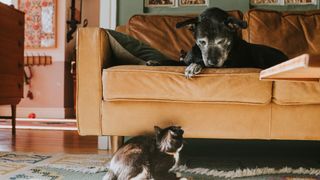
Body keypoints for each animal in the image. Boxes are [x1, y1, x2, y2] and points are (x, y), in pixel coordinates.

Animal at [146, 7, 288, 77]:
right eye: (201, 41)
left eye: (222, 41)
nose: (212, 63)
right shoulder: (184, 60)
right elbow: (175, 62)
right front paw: (156, 62)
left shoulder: (229, 64)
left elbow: (199, 63)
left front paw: (194, 66)